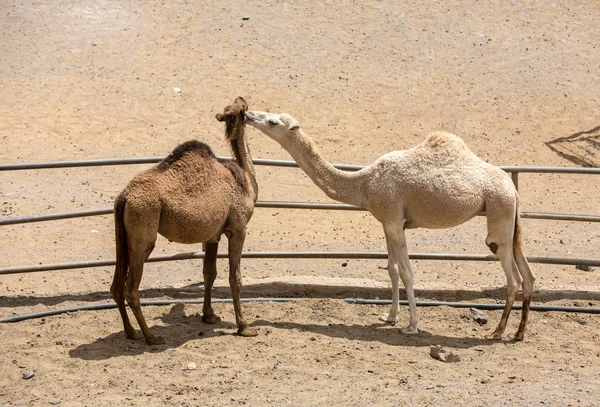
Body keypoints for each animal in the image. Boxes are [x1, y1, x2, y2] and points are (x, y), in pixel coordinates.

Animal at [111, 98, 256, 344]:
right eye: (243, 108)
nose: (242, 98)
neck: (243, 178)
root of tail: (124, 197)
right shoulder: (238, 228)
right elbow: (234, 278)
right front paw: (244, 327)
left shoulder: (212, 235)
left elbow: (209, 273)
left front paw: (209, 316)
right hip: (143, 230)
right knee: (131, 288)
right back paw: (152, 337)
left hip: (123, 238)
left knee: (116, 286)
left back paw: (132, 333)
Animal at [246, 111, 536, 342]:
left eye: (272, 121)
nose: (248, 114)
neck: (363, 183)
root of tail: (513, 190)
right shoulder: (388, 221)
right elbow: (392, 269)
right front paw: (389, 316)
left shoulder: (394, 219)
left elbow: (407, 273)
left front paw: (412, 325)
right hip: (511, 220)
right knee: (528, 275)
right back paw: (519, 333)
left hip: (499, 213)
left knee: (512, 276)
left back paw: (497, 332)